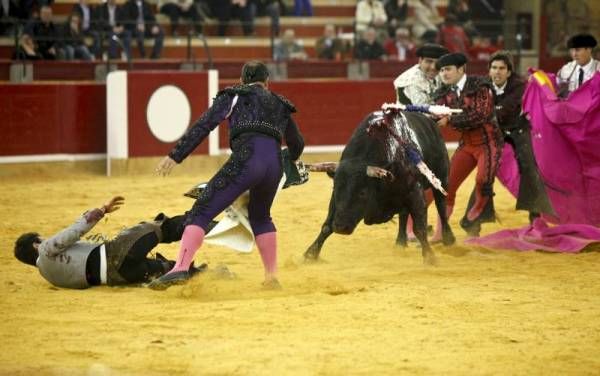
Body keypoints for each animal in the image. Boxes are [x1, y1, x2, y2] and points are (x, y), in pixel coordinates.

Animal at [304, 108, 454, 264]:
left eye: (363, 193)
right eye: (336, 188)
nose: (340, 227)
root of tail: (431, 121)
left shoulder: (414, 192)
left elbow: (420, 228)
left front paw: (430, 257)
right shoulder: (335, 199)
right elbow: (327, 226)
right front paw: (311, 254)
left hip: (442, 178)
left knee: (441, 206)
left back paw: (448, 239)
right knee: (404, 214)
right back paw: (400, 243)